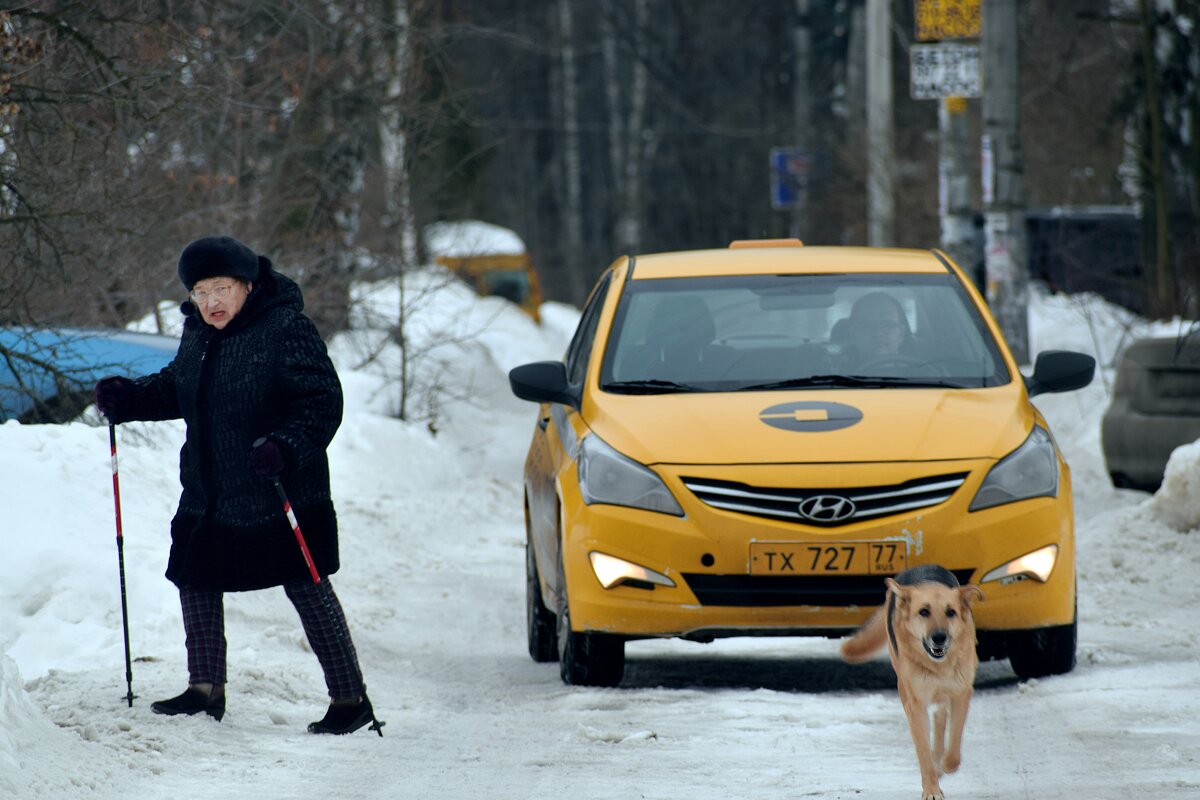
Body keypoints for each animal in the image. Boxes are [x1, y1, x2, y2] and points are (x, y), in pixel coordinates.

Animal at [844, 563, 984, 800]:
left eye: (951, 612)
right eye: (924, 612)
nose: (939, 637)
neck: (938, 665)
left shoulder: (960, 694)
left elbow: (954, 742)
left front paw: (946, 764)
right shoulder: (915, 704)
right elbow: (923, 753)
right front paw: (932, 790)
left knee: (940, 718)